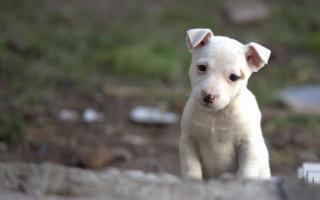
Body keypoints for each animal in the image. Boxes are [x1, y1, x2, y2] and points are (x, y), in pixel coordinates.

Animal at [179, 28, 272, 180]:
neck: (216, 115)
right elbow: (191, 166)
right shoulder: (189, 140)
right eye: (202, 67)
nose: (209, 95)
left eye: (234, 77)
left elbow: (245, 171)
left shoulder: (249, 145)